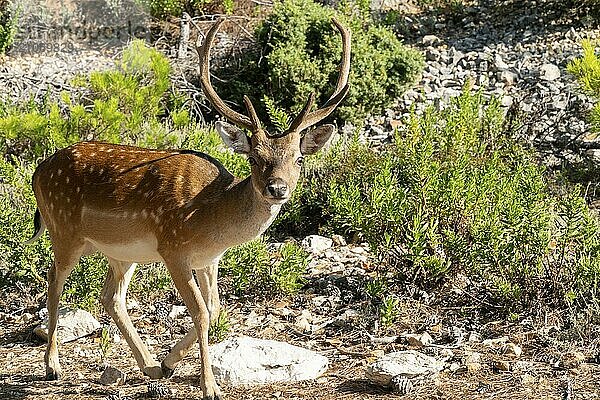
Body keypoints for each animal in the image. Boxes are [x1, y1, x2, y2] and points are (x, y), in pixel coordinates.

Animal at [25, 17, 350, 398]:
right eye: (254, 158)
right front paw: (209, 385)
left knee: (111, 296)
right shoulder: (174, 249)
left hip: (121, 252)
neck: (211, 217)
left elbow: (215, 309)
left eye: (299, 159)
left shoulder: (209, 260)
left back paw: (149, 365)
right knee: (54, 281)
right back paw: (52, 366)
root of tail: (38, 170)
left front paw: (169, 364)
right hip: (64, 230)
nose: (277, 188)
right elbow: (200, 312)